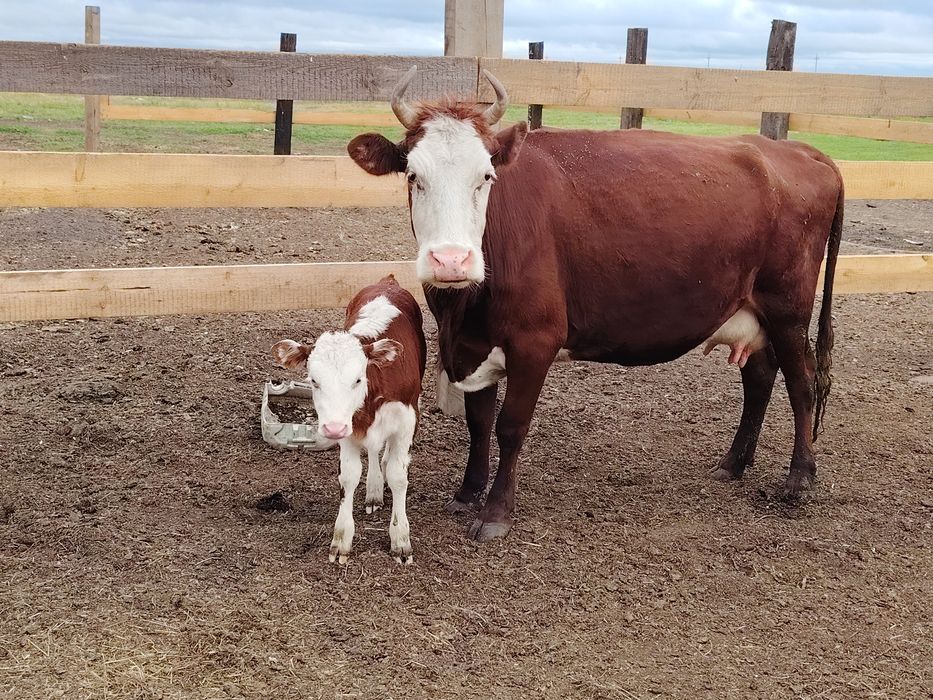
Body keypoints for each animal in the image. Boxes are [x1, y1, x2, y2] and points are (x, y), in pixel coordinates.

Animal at [272, 274, 427, 563]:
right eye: (314, 380)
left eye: (357, 379)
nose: (332, 429)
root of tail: (387, 281)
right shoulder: (348, 428)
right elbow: (349, 477)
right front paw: (341, 539)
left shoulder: (406, 421)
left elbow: (398, 476)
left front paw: (401, 540)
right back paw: (374, 492)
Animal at [347, 67, 844, 541]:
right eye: (414, 176)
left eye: (485, 176)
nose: (451, 260)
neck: (463, 308)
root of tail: (798, 150)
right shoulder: (474, 344)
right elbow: (478, 422)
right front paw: (468, 493)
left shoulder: (535, 341)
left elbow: (510, 425)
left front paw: (495, 512)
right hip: (750, 310)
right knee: (759, 378)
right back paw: (734, 463)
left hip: (788, 308)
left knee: (801, 382)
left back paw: (799, 478)